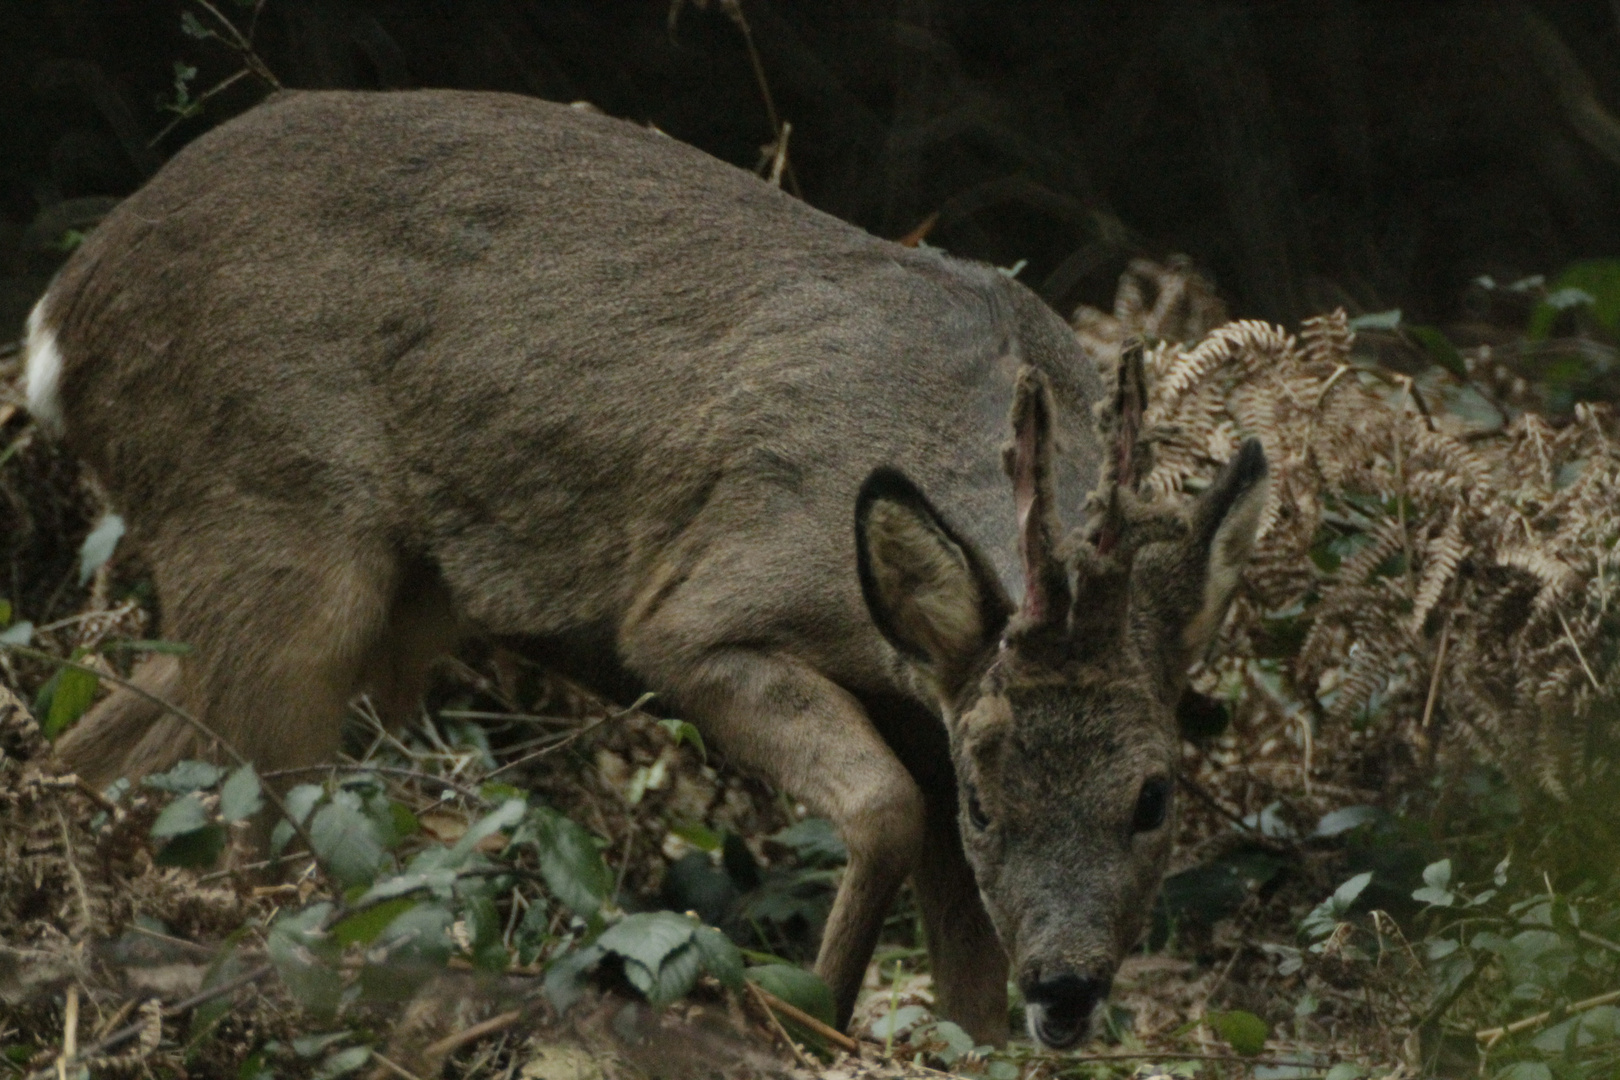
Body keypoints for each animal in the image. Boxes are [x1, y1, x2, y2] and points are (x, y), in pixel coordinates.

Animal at [25, 88, 1263, 1049]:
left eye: (1152, 796)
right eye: (985, 799)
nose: (1068, 987)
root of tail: (59, 318)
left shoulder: (931, 689)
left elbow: (965, 975)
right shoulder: (700, 604)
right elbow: (881, 807)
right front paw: (805, 1016)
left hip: (378, 586)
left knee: (95, 752)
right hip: (269, 513)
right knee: (256, 827)